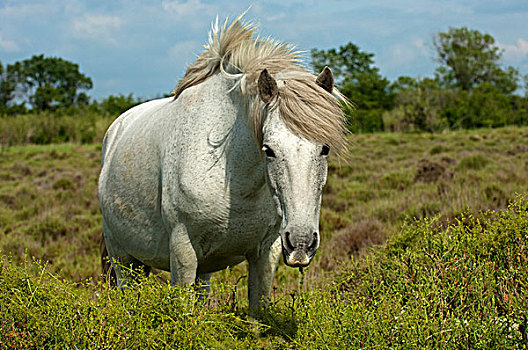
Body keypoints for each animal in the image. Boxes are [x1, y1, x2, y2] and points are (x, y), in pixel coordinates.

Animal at [97, 15, 348, 314]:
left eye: (325, 148)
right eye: (268, 150)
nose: (301, 243)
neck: (236, 181)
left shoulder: (267, 252)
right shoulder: (182, 252)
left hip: (200, 269)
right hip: (123, 260)